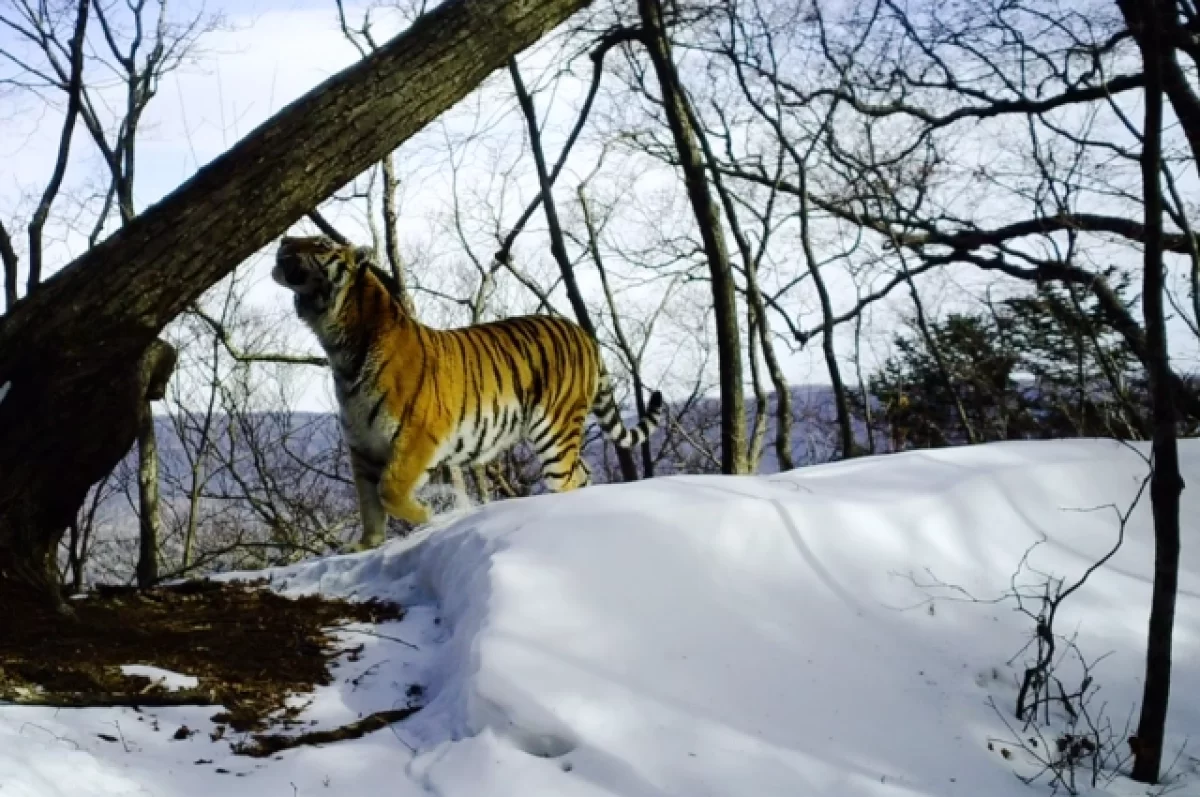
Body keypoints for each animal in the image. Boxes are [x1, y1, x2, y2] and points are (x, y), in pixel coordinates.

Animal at [273, 235, 667, 547]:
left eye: (320, 244)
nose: (283, 240)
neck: (339, 347)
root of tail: (583, 333)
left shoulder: (417, 435)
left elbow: (389, 491)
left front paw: (427, 515)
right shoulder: (362, 445)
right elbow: (369, 503)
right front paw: (366, 545)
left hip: (555, 429)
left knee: (570, 477)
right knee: (582, 473)